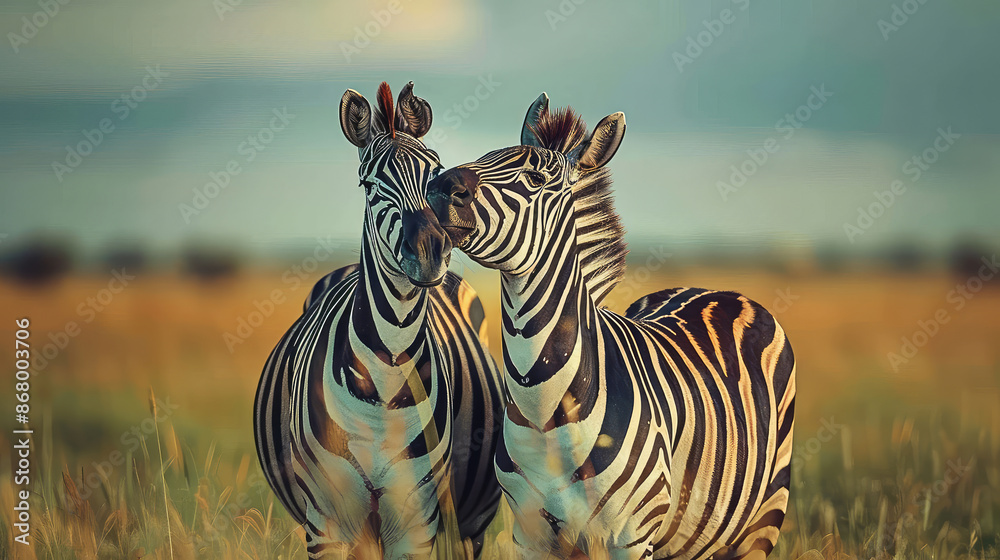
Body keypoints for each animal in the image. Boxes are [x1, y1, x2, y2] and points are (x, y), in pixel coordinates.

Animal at [253, 82, 505, 559]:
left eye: (436, 175)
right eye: (369, 185)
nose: (430, 250)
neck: (387, 372)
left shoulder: (416, 520)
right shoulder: (326, 523)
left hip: (470, 523)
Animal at [426, 94, 796, 559]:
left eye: (534, 179)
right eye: (485, 156)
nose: (438, 187)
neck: (544, 408)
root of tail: (715, 290)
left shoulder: (632, 537)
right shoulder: (530, 534)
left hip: (764, 516)